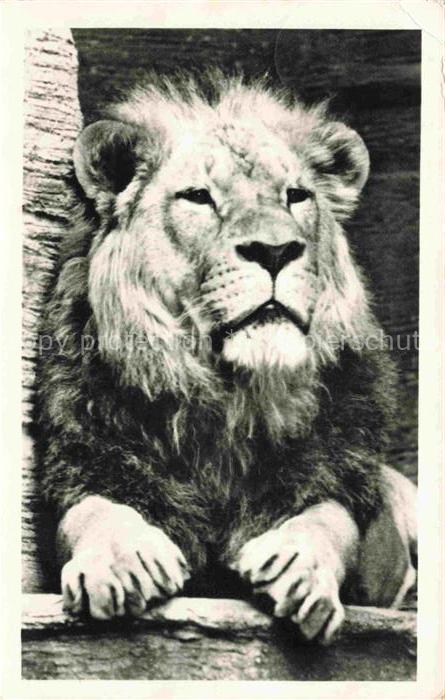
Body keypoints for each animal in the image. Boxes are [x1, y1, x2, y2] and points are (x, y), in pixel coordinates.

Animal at [35, 73, 417, 644]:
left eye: (296, 196)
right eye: (198, 197)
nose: (276, 251)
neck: (230, 395)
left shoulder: (342, 477)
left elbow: (329, 517)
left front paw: (297, 563)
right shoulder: (89, 457)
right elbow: (96, 510)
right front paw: (126, 559)